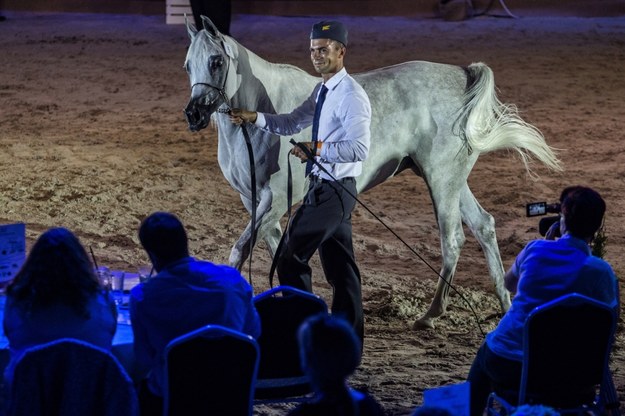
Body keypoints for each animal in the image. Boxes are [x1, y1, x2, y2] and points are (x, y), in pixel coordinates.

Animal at [182, 15, 560, 328]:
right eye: (187, 66)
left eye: (216, 61)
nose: (194, 115)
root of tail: (463, 76)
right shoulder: (254, 200)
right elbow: (275, 246)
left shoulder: (274, 199)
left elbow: (241, 250)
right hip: (453, 180)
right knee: (483, 225)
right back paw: (505, 305)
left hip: (441, 178)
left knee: (452, 238)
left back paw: (430, 315)